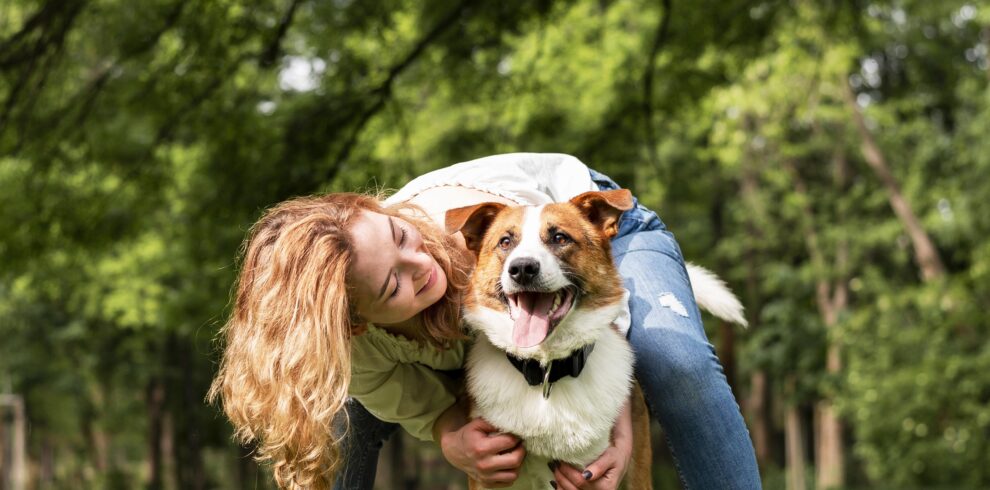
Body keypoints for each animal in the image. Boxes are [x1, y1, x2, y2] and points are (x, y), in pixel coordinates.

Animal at [446, 189, 748, 488]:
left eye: (560, 238)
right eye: (505, 242)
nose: (522, 269)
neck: (546, 372)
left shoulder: (589, 473)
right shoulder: (492, 470)